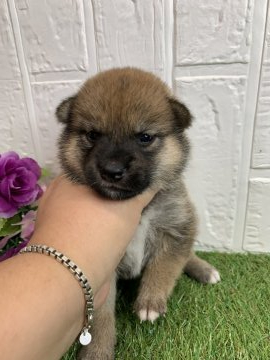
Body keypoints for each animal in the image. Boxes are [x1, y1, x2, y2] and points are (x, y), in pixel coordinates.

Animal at [56, 68, 220, 360]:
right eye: (93, 135)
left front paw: (151, 302)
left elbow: (165, 266)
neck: (138, 209)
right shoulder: (103, 270)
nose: (112, 171)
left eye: (144, 137)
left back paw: (204, 269)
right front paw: (97, 350)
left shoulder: (177, 227)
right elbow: (101, 317)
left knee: (187, 255)